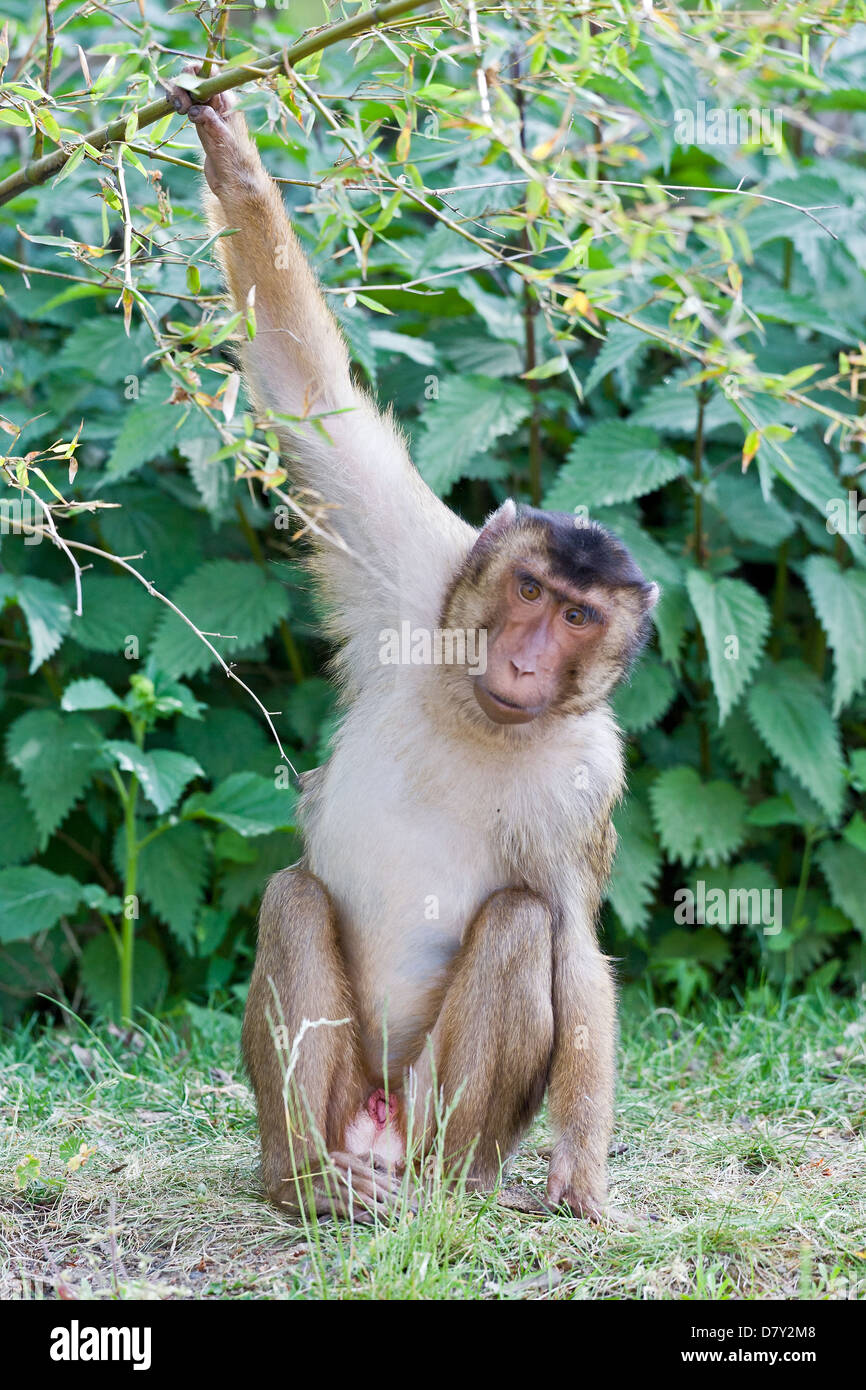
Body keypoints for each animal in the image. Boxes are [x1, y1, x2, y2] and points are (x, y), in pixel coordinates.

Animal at [167, 81, 656, 1223]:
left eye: (579, 618)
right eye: (527, 589)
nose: (523, 658)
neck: (484, 713)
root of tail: (381, 1127)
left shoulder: (591, 771)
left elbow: (576, 951)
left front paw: (581, 1168)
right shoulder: (415, 571)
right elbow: (306, 390)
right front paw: (234, 154)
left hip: (433, 1115)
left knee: (521, 922)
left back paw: (445, 1189)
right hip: (336, 1093)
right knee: (294, 894)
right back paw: (306, 1182)